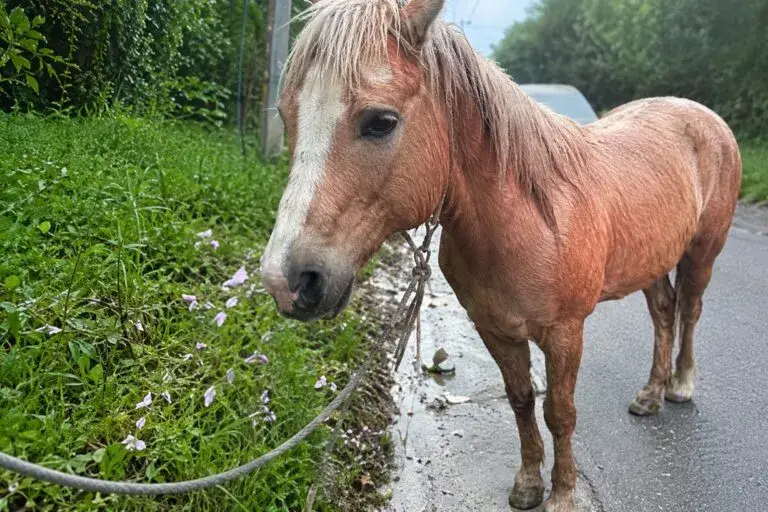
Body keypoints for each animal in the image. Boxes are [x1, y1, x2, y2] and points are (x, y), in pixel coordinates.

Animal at [259, 0, 742, 510]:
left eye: (381, 122)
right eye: (286, 116)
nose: (286, 280)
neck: (529, 219)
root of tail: (704, 117)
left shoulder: (565, 333)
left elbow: (560, 412)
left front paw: (562, 494)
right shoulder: (495, 330)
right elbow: (521, 399)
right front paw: (529, 483)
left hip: (701, 254)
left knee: (689, 310)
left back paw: (680, 385)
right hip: (652, 260)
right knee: (664, 313)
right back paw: (650, 395)